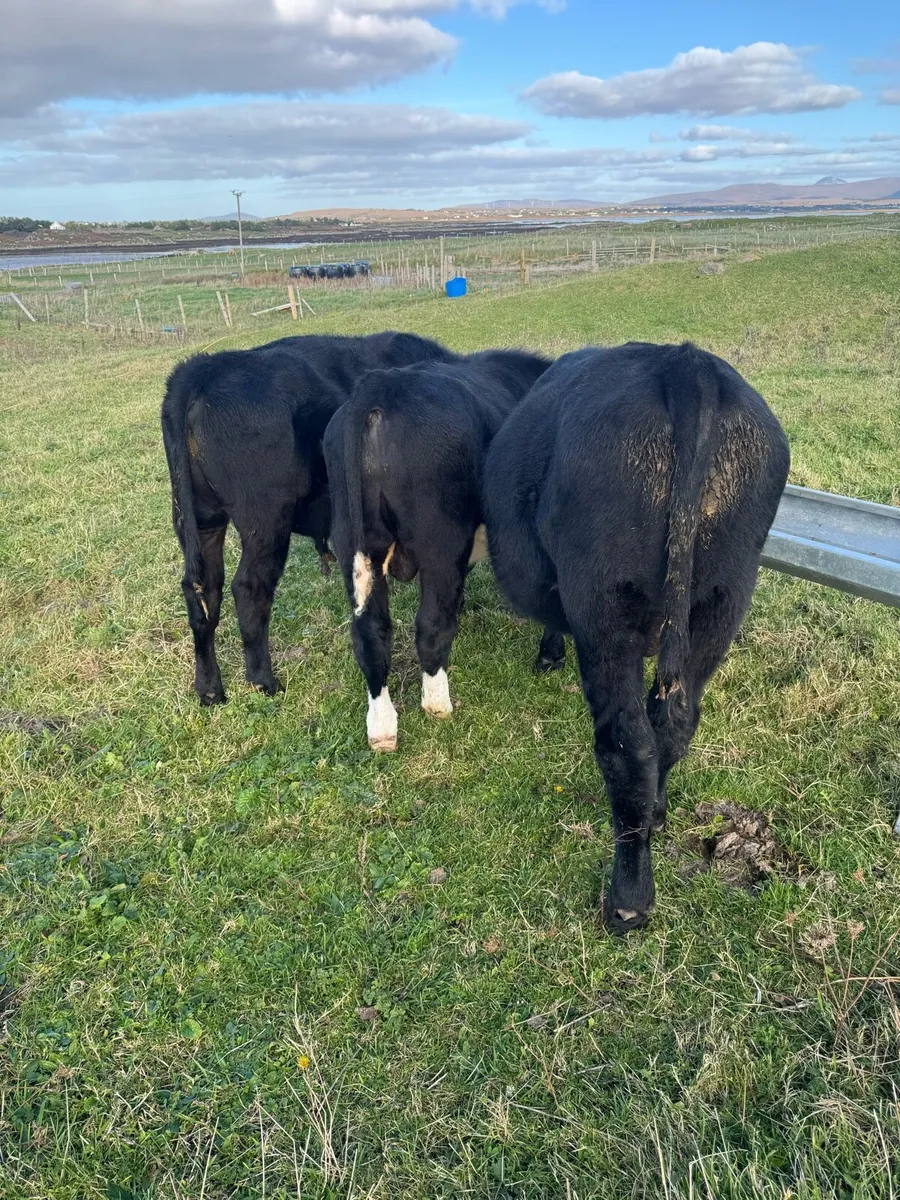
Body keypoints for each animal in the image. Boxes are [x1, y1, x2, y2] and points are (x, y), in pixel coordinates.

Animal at [161, 331, 454, 706]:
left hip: (200, 521)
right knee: (249, 588)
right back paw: (263, 681)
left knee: (202, 591)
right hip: (266, 521)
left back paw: (210, 689)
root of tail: (204, 367)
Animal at [323, 349, 551, 752]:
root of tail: (382, 385)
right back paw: (437, 705)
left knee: (370, 631)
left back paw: (382, 727)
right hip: (440, 543)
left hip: (354, 540)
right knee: (431, 624)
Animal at [482, 342, 790, 935]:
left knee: (627, 744)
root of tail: (683, 361)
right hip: (722, 598)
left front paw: (548, 653)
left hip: (606, 609)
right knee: (673, 724)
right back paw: (657, 815)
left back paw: (628, 898)